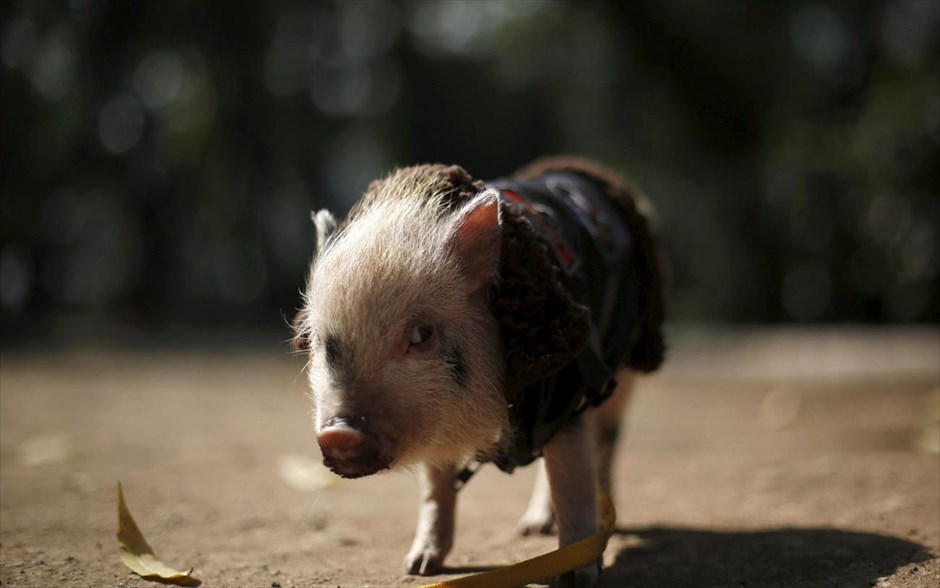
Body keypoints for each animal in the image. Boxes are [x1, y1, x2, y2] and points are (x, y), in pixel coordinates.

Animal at [292, 157, 665, 588]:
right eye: (316, 340)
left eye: (421, 334)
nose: (338, 433)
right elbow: (436, 488)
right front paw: (419, 566)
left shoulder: (565, 390)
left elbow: (571, 479)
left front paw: (576, 577)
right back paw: (531, 529)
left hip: (625, 368)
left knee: (603, 447)